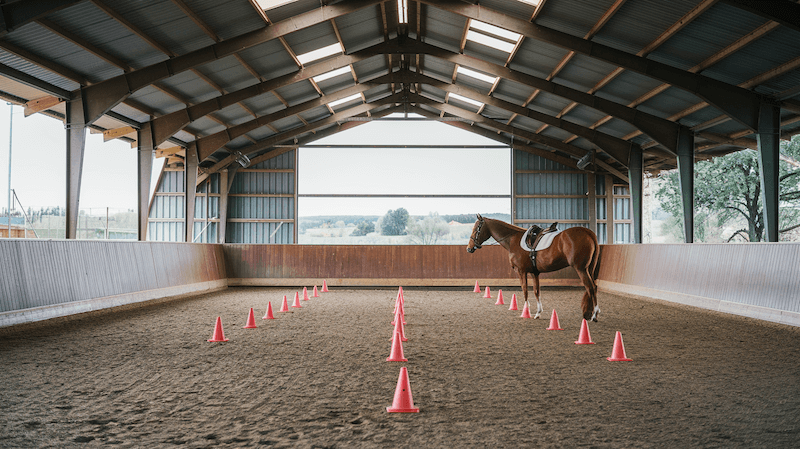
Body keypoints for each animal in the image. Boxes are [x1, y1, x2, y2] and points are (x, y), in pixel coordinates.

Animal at [462, 215, 600, 320]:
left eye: (476, 229)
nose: (469, 248)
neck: (513, 240)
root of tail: (588, 233)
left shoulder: (521, 271)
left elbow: (525, 290)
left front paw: (526, 311)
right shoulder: (535, 272)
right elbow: (536, 291)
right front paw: (538, 313)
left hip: (581, 269)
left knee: (591, 287)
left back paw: (595, 314)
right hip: (588, 268)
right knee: (593, 287)